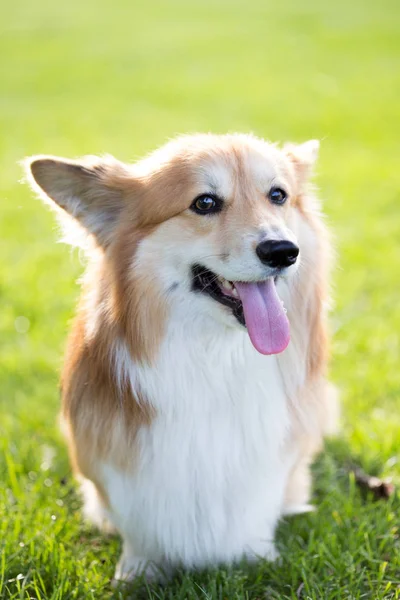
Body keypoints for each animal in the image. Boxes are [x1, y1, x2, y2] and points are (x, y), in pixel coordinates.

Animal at [25, 132, 338, 580]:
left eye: (278, 195)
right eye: (204, 203)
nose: (283, 251)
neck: (214, 360)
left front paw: (258, 557)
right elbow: (137, 526)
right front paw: (137, 573)